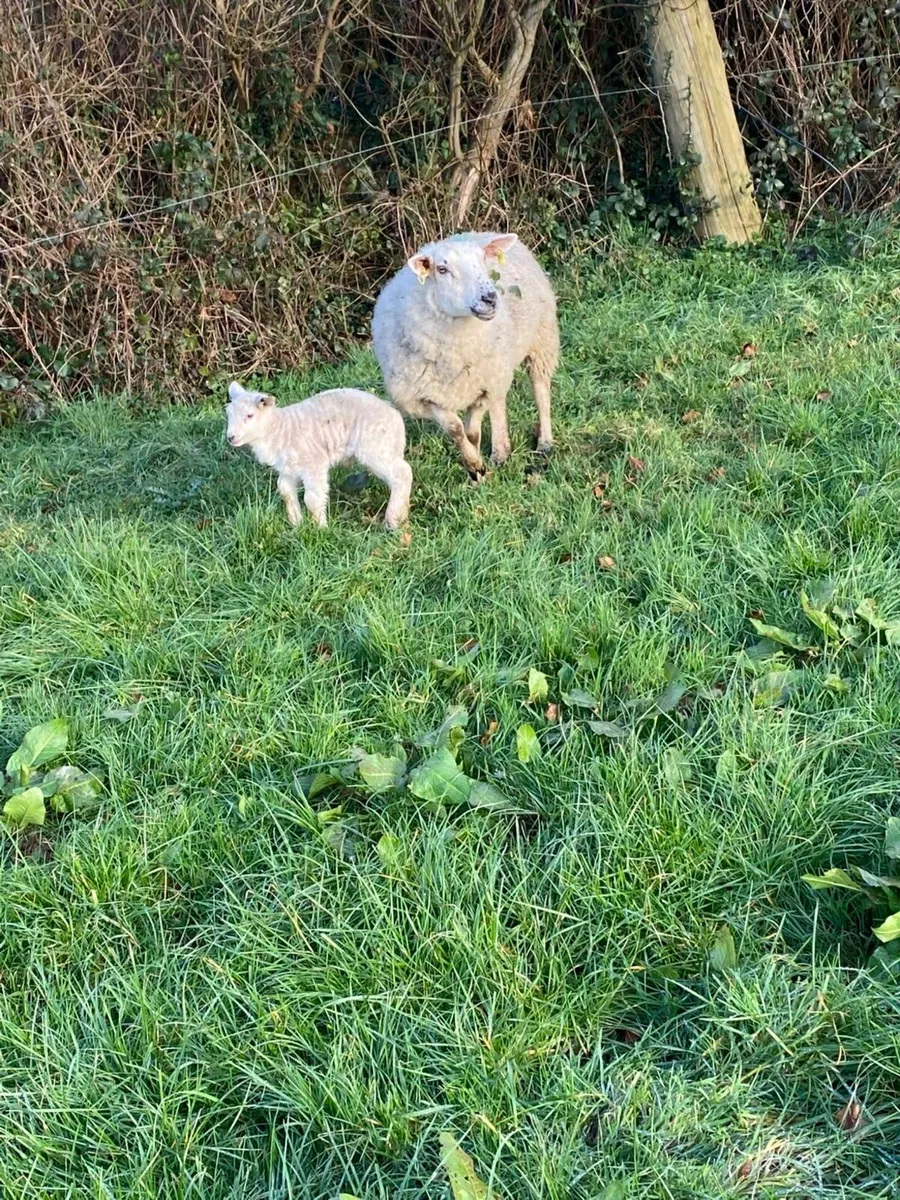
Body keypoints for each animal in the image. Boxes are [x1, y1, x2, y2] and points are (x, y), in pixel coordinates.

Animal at [224, 382, 412, 530]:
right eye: (229, 415)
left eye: (250, 415)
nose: (230, 437)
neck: (279, 429)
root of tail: (396, 417)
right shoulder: (289, 468)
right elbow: (285, 491)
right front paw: (296, 524)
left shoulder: (314, 463)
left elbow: (312, 499)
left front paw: (320, 528)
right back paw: (402, 513)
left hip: (375, 446)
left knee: (403, 473)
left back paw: (393, 520)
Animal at [371, 230, 559, 476]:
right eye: (442, 269)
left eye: (482, 260)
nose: (489, 298)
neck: (455, 353)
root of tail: (479, 232)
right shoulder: (422, 398)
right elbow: (456, 429)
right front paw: (475, 466)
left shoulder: (482, 386)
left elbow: (472, 431)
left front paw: (477, 465)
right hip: (500, 367)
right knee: (499, 402)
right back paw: (501, 452)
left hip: (541, 337)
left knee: (540, 388)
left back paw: (544, 442)